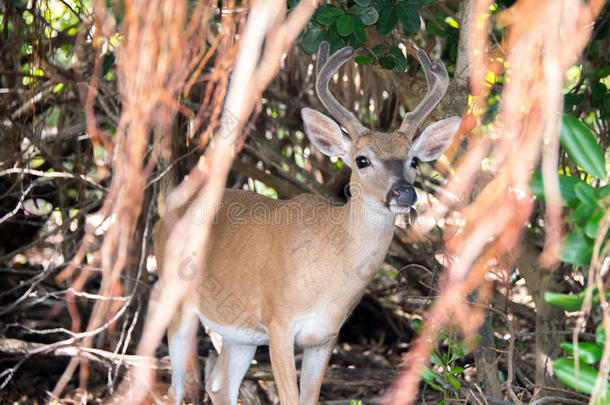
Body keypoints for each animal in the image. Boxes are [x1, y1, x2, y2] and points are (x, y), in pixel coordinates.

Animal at [153, 41, 460, 404]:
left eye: (413, 160)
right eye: (362, 160)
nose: (404, 192)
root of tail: (160, 219)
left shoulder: (326, 336)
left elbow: (310, 397)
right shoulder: (279, 321)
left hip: (240, 330)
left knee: (218, 382)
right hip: (176, 297)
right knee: (174, 388)